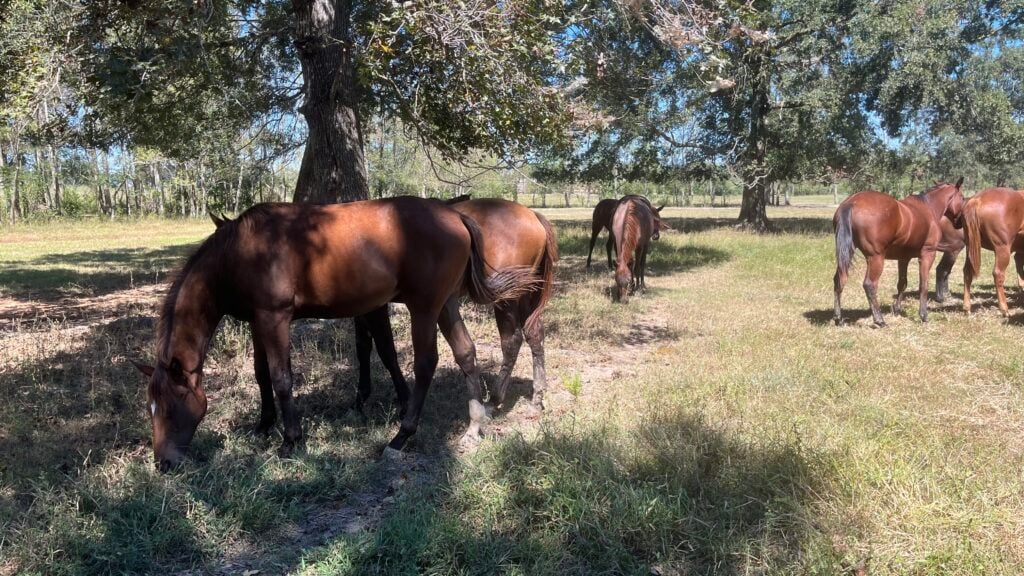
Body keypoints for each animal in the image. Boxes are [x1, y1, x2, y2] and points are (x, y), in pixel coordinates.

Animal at [132, 194, 540, 469]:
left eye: (169, 407)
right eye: (150, 407)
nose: (163, 463)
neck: (241, 252)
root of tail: (454, 214)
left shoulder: (275, 319)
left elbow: (281, 378)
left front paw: (291, 440)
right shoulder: (258, 321)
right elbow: (262, 375)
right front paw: (263, 425)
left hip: (424, 308)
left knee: (427, 363)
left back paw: (402, 436)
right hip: (446, 304)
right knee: (466, 353)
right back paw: (474, 425)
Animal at [354, 196, 561, 416]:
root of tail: (533, 216)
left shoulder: (377, 308)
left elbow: (386, 350)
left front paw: (403, 401)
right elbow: (362, 346)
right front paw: (361, 398)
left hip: (507, 300)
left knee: (511, 342)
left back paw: (493, 400)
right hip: (525, 294)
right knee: (535, 335)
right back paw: (537, 397)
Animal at [831, 177, 966, 325]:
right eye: (962, 197)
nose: (960, 223)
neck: (928, 208)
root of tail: (852, 202)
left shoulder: (903, 258)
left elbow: (902, 283)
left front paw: (896, 309)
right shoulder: (927, 254)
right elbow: (923, 285)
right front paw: (923, 315)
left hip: (847, 253)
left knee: (839, 279)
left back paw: (838, 318)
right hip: (876, 258)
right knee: (869, 285)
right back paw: (879, 320)